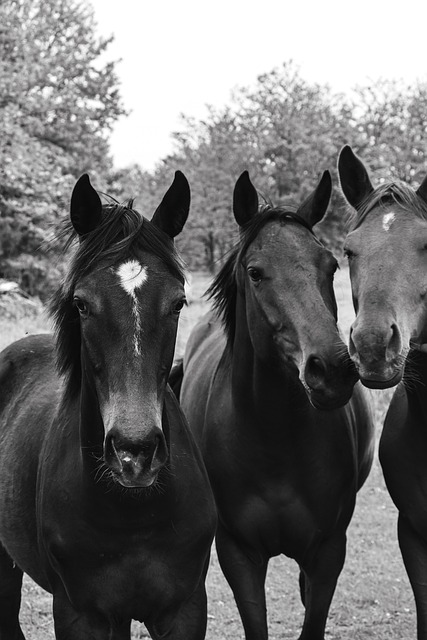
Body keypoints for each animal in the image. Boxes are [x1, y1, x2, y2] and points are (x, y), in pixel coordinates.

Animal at [0, 172, 216, 639]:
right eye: (81, 304)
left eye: (178, 303)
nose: (135, 454)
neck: (132, 515)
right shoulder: (80, 615)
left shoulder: (185, 610)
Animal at [173, 170, 375, 640]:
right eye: (255, 272)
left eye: (331, 265)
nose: (332, 370)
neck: (275, 441)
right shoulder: (238, 554)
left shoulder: (327, 553)